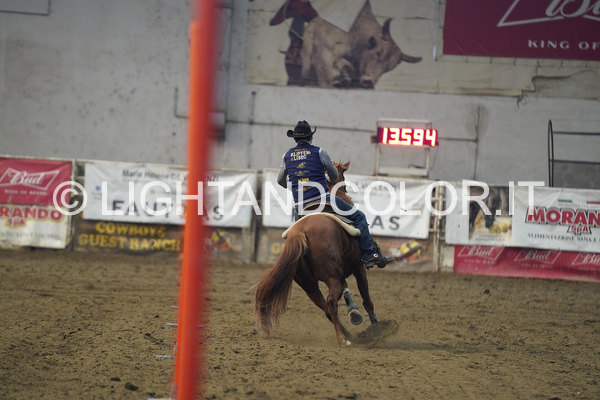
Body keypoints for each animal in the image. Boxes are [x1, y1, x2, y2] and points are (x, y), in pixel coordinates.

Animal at [254, 161, 379, 346]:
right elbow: (366, 299)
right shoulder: (358, 267)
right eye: (343, 177)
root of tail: (301, 231)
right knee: (331, 302)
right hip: (332, 278)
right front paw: (377, 328)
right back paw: (343, 339)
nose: (345, 190)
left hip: (309, 285)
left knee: (326, 308)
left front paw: (354, 314)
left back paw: (347, 334)